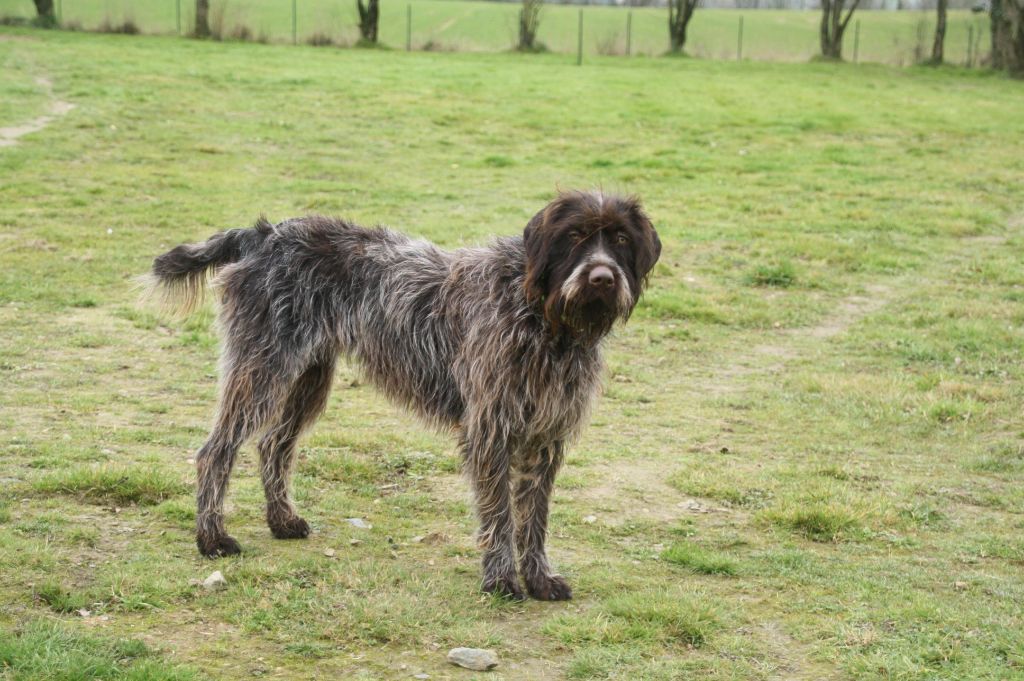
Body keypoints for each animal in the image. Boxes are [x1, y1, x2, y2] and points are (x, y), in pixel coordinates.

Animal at [151, 191, 663, 602]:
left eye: (621, 240)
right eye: (574, 236)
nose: (602, 278)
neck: (547, 321)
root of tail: (263, 235)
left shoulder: (545, 437)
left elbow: (533, 518)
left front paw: (538, 579)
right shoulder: (491, 430)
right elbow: (501, 515)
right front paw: (501, 580)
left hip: (308, 379)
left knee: (273, 444)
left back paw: (282, 521)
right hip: (261, 370)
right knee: (216, 451)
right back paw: (212, 538)